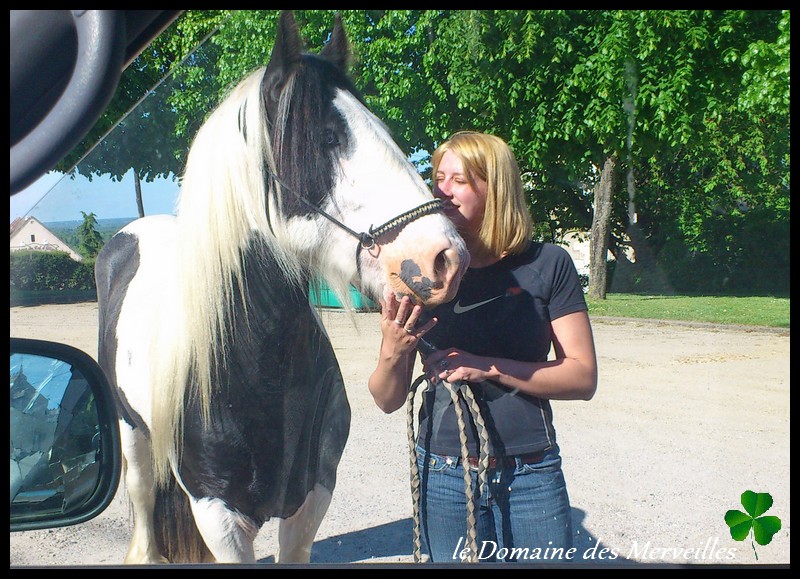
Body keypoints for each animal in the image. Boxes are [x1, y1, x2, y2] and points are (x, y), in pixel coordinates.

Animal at [94, 12, 468, 568]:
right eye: (328, 137)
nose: (445, 258)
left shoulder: (312, 498)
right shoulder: (218, 516)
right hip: (132, 431)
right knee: (142, 498)